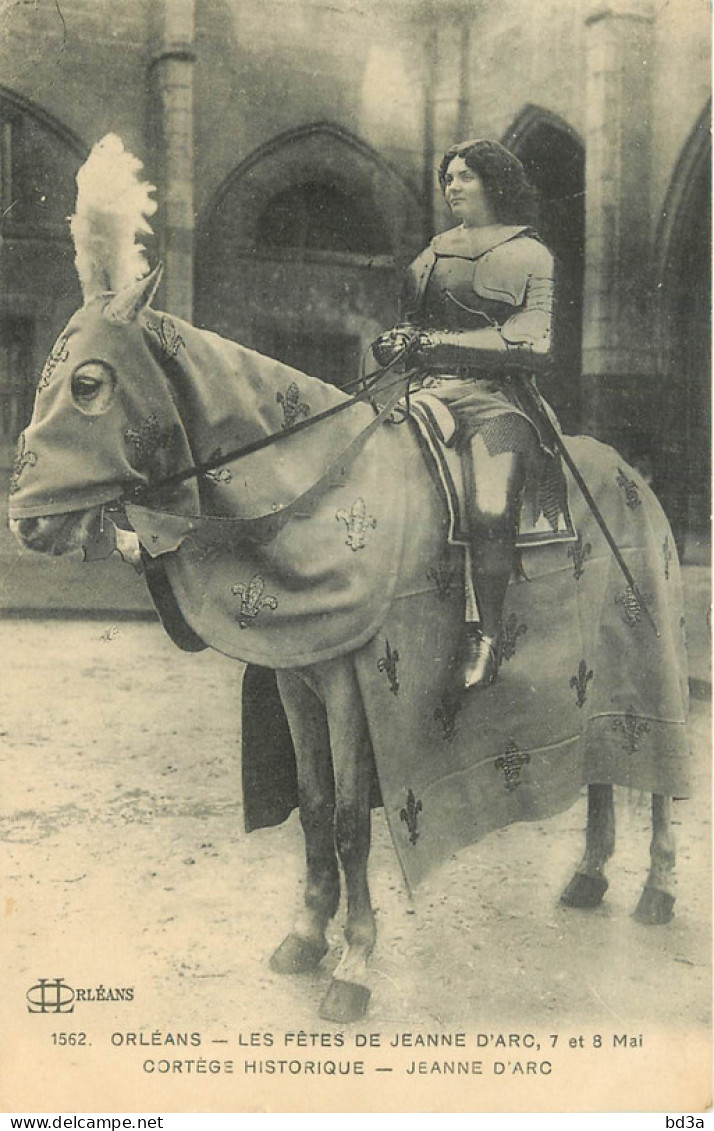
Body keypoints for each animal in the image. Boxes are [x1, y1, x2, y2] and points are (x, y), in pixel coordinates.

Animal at [9, 134, 692, 1026]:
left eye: (88, 383)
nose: (28, 523)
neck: (316, 481)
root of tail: (633, 476)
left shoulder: (353, 690)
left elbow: (350, 823)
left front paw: (356, 963)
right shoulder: (298, 680)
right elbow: (312, 808)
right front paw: (305, 935)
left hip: (647, 655)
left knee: (658, 775)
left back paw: (656, 885)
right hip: (596, 678)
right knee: (604, 769)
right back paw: (588, 874)